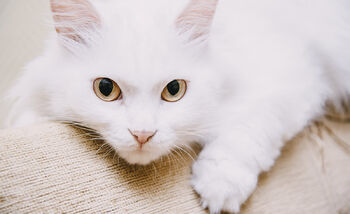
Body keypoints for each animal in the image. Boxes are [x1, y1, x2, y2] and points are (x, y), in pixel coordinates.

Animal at [6, 0, 350, 213]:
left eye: (174, 90)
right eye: (105, 89)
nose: (142, 134)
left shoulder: (292, 77)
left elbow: (247, 130)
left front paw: (220, 185)